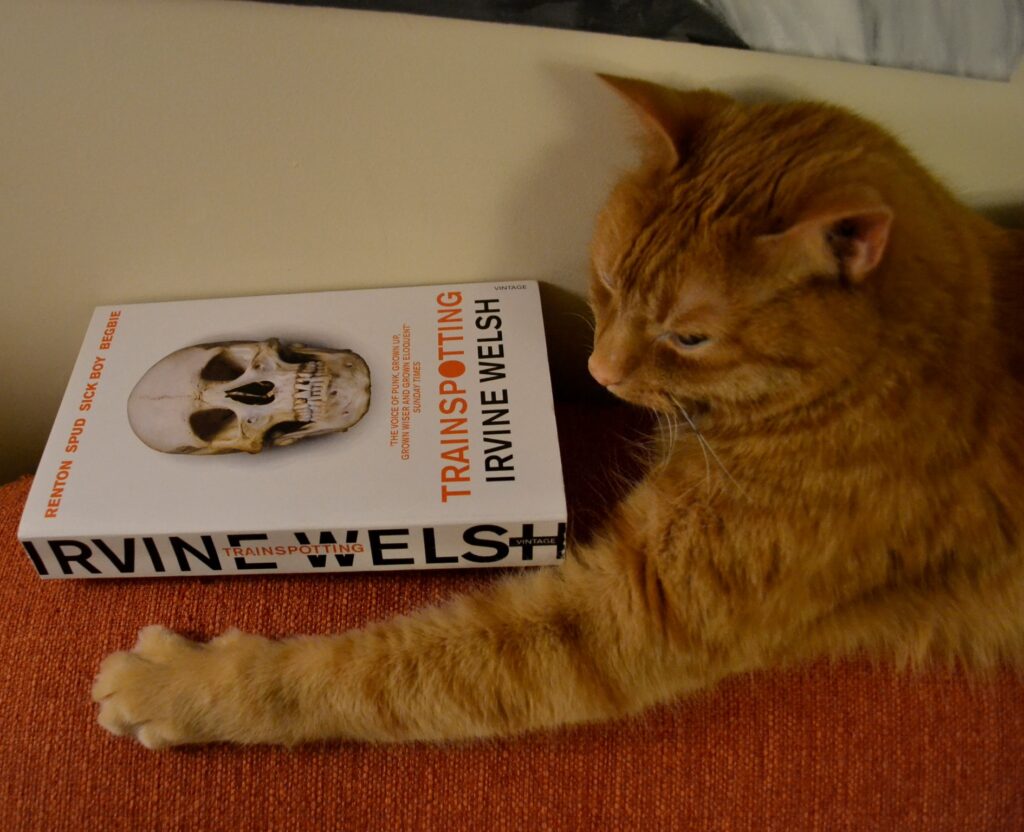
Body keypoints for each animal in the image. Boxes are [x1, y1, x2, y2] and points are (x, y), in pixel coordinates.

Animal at [92, 77, 1019, 750]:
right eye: (605, 281)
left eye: (689, 336)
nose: (599, 371)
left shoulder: (624, 620)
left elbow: (369, 674)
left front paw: (181, 688)